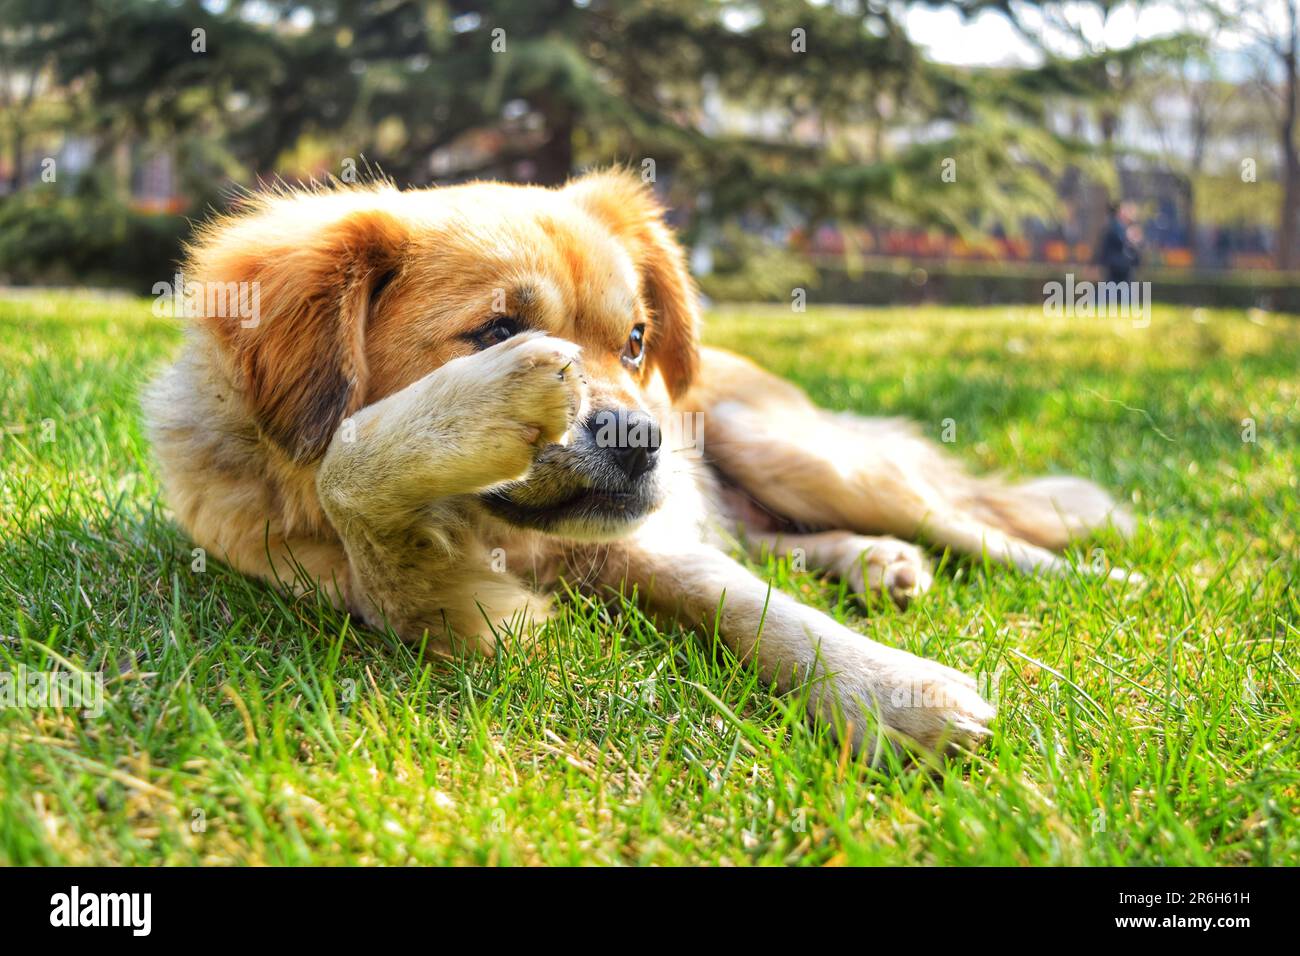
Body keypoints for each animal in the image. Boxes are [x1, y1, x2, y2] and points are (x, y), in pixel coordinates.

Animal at [144, 167, 1138, 759]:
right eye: (498, 332)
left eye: (633, 340)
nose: (643, 438)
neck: (510, 538)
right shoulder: (431, 602)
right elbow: (360, 496)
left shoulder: (648, 543)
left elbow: (759, 610)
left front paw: (893, 691)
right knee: (777, 538)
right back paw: (873, 561)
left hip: (793, 454)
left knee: (968, 524)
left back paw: (1102, 574)